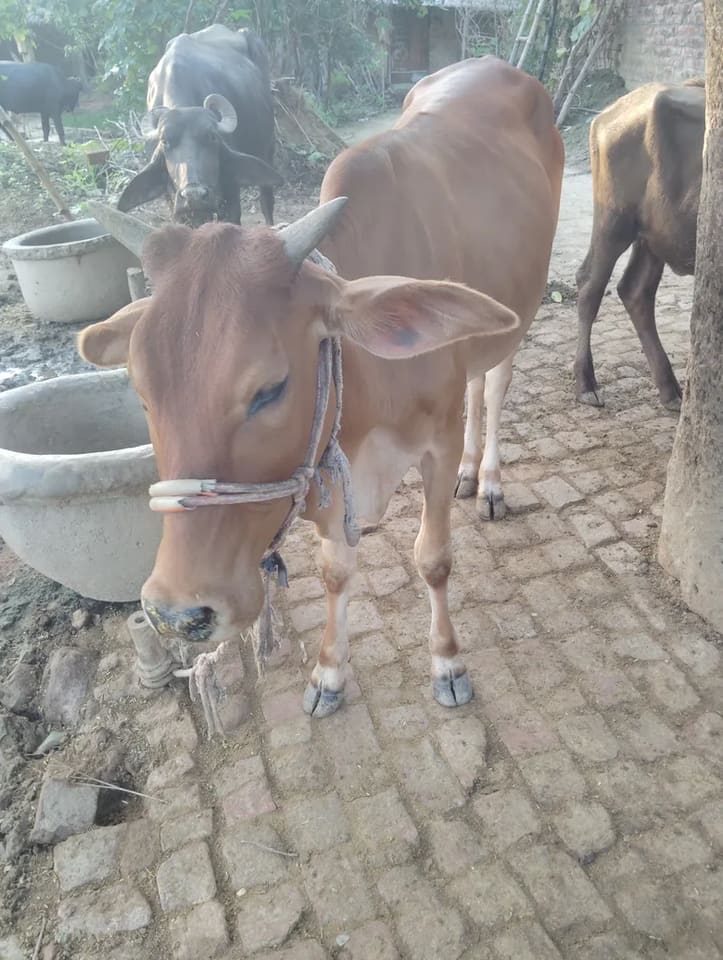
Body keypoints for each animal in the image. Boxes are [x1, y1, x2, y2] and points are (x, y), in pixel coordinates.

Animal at [78, 57, 563, 719]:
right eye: (142, 392)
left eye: (270, 389)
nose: (180, 614)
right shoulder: (329, 467)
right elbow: (337, 571)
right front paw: (330, 673)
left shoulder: (433, 443)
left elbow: (434, 559)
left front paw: (447, 663)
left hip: (520, 312)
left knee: (491, 386)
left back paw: (486, 479)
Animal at [117, 24, 282, 226]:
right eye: (165, 142)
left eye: (212, 137)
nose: (193, 195)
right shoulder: (174, 203)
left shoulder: (230, 191)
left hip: (267, 146)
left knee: (266, 199)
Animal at [574, 79, 704, 411]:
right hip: (615, 222)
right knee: (590, 284)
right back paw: (586, 384)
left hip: (654, 237)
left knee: (635, 291)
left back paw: (670, 390)